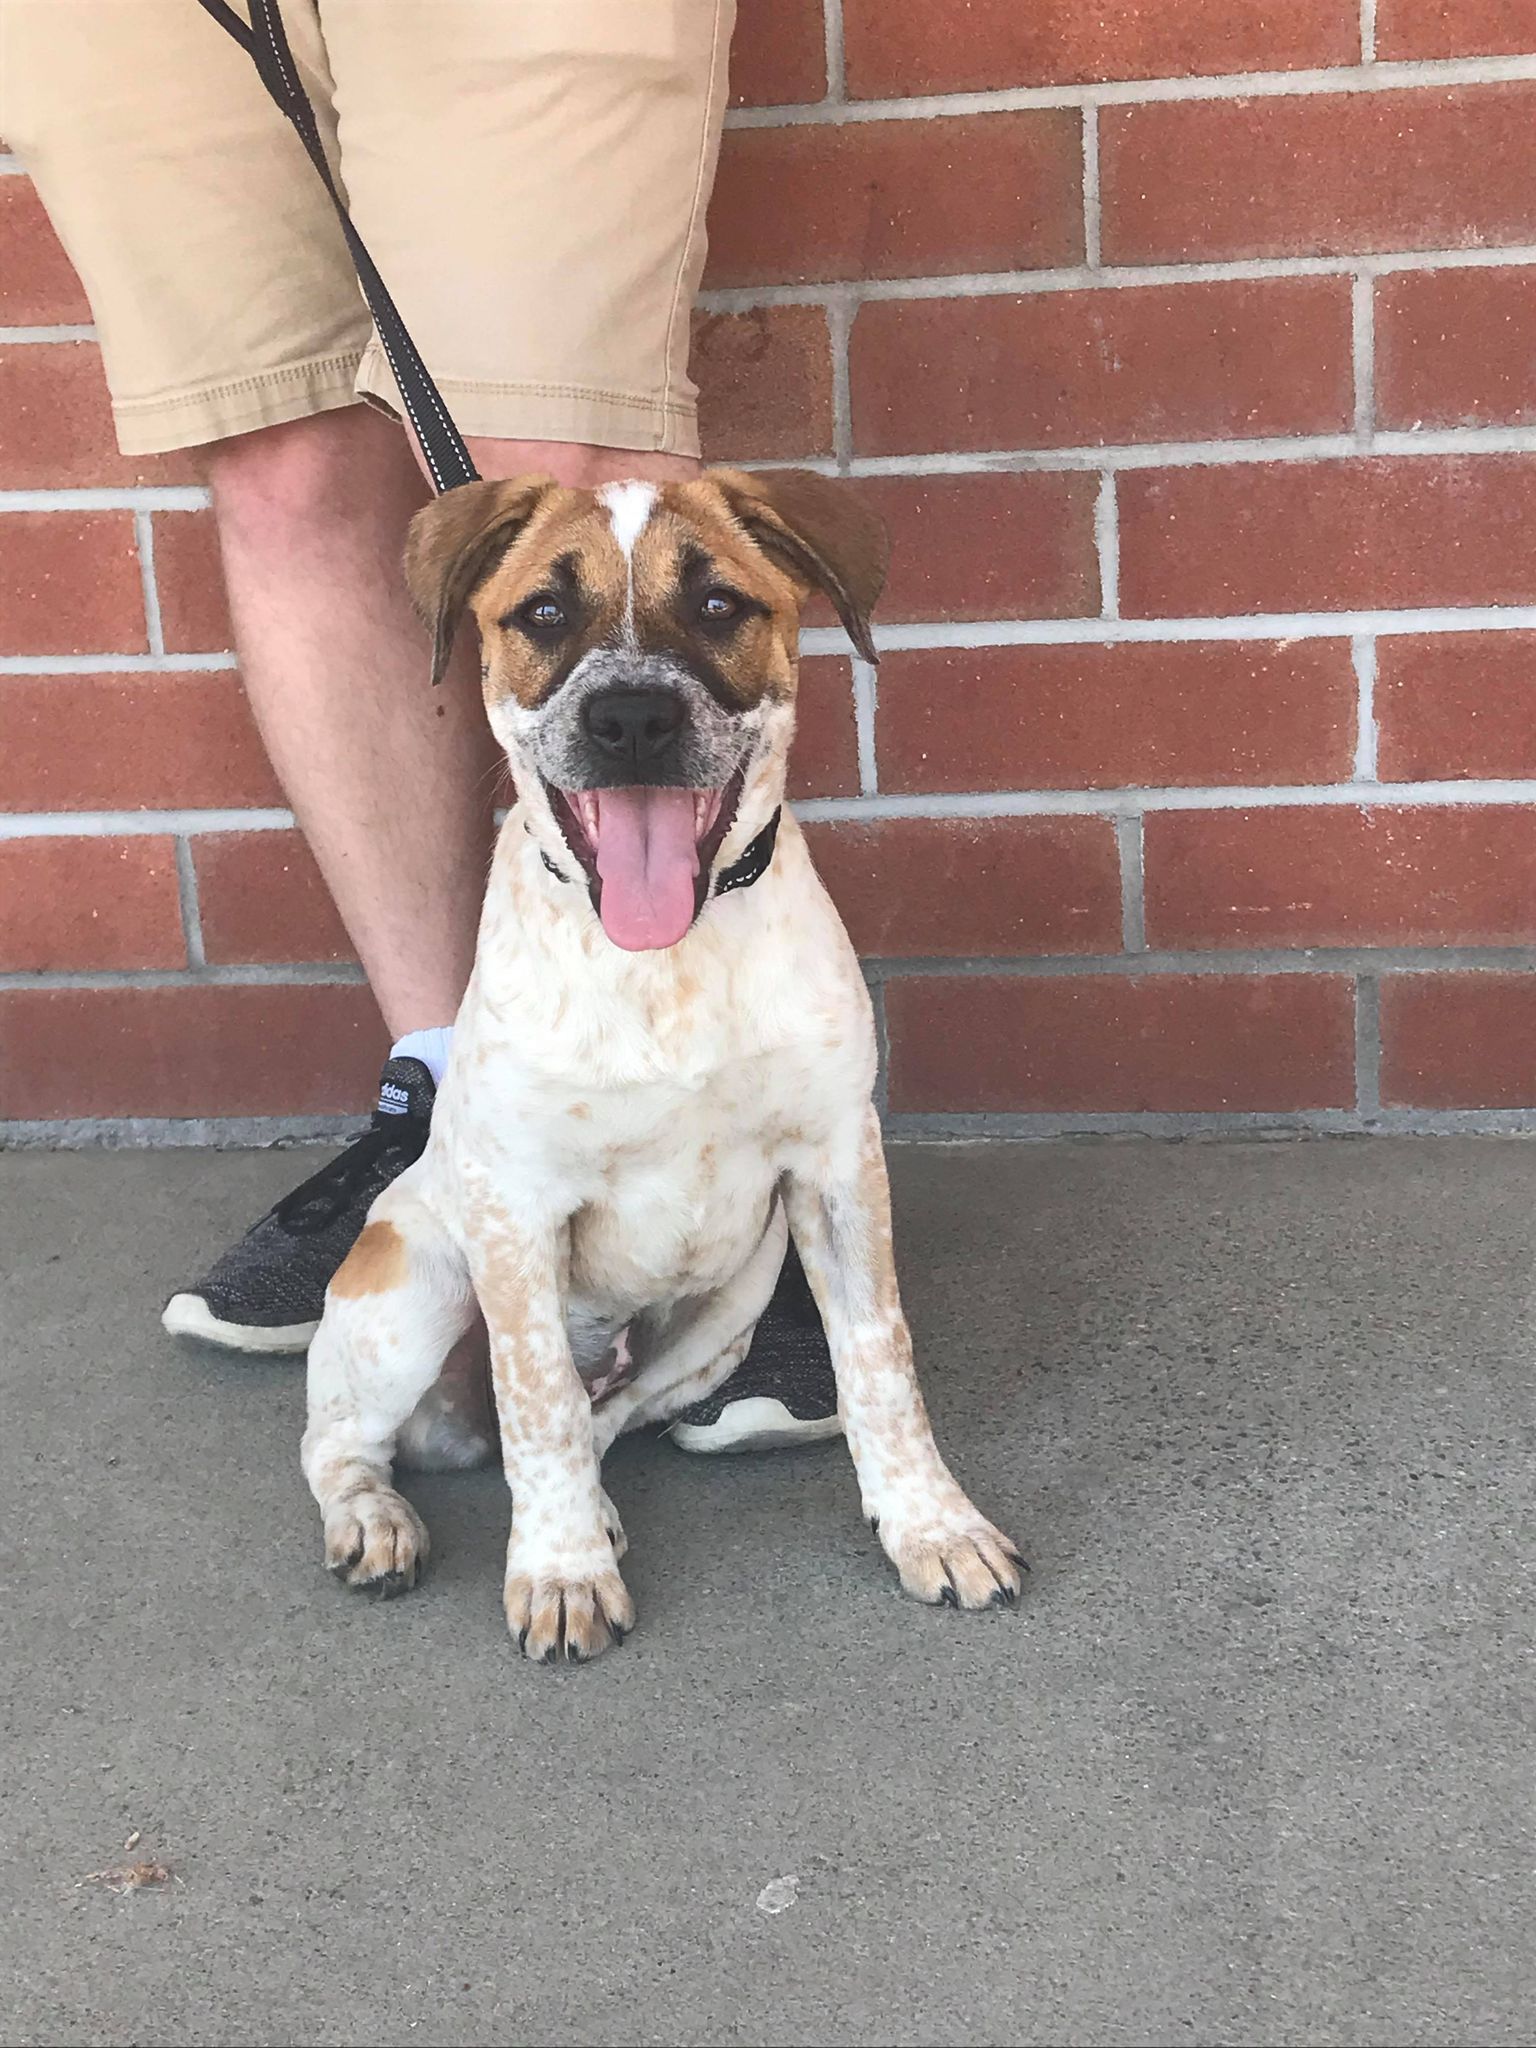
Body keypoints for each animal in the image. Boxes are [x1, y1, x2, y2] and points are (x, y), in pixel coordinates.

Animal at [300, 467, 1025, 1662]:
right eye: (545, 613)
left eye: (720, 605)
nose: (631, 718)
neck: (665, 960)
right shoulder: (516, 1213)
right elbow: (537, 1401)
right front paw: (557, 1571)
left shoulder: (837, 1169)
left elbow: (882, 1362)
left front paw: (933, 1524)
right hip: (413, 1288)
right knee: (355, 1439)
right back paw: (380, 1518)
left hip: (730, 1310)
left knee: (606, 1415)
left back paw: (593, 1503)